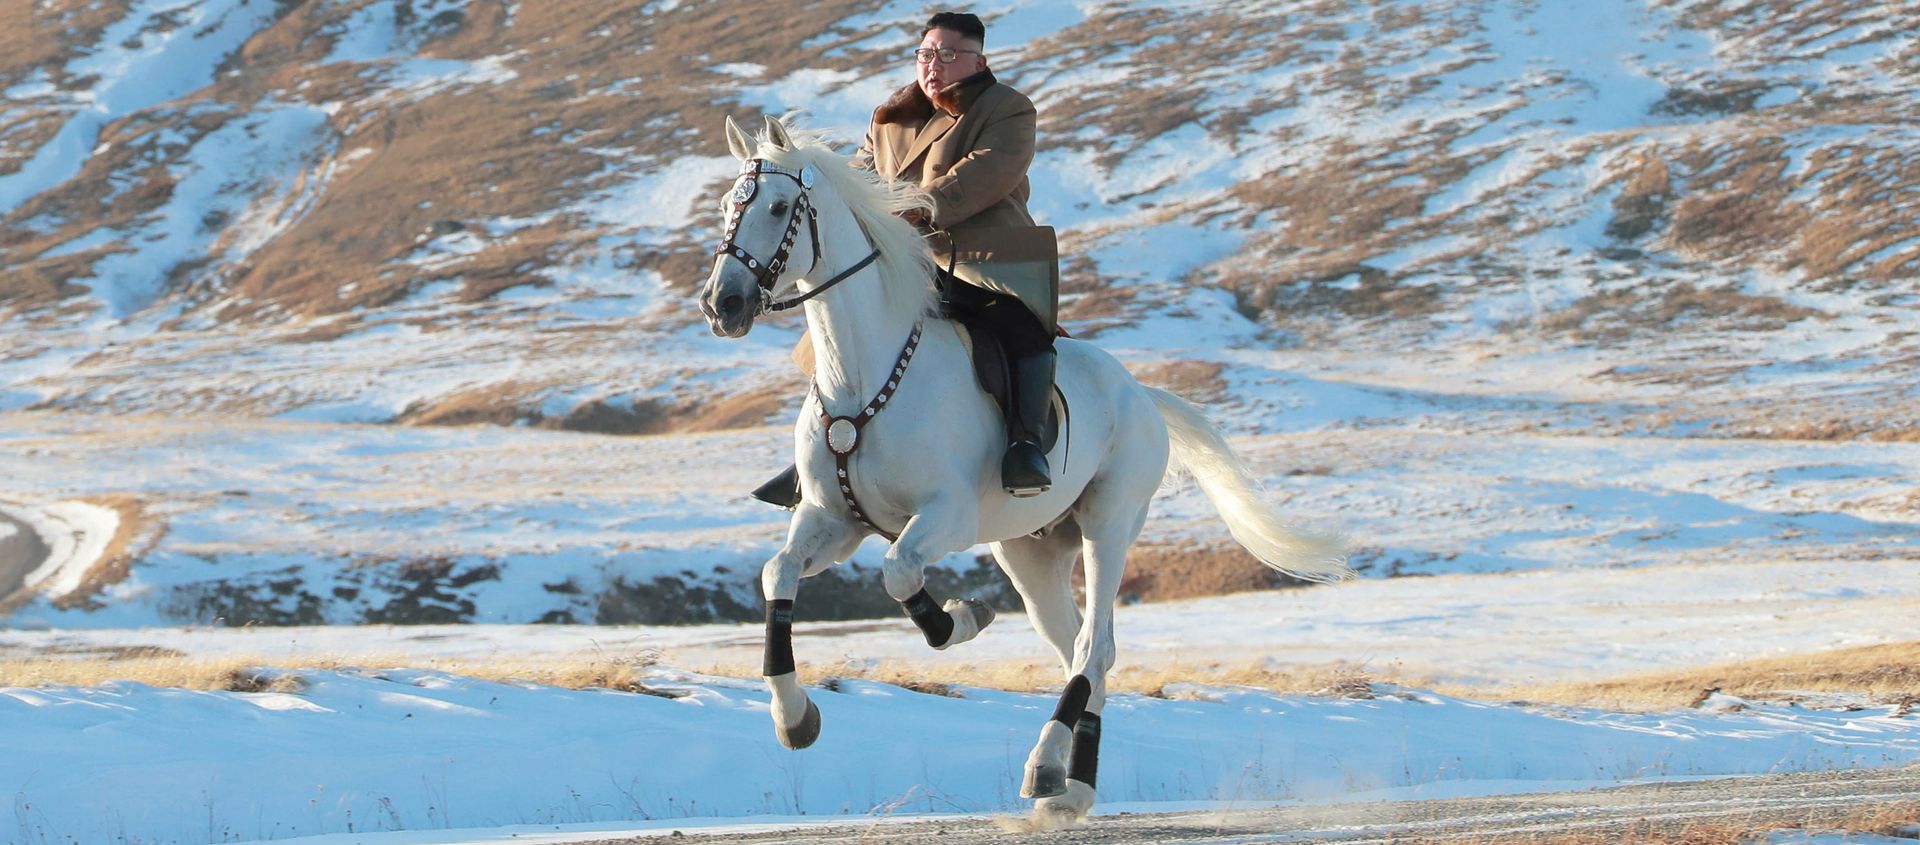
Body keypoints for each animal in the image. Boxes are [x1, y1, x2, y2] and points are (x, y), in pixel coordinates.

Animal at [697, 115, 1349, 823]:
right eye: (728, 206)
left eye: (778, 207)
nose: (723, 304)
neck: (862, 376)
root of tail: (1142, 394)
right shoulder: (833, 520)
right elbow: (777, 573)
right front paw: (794, 718)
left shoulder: (946, 516)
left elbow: (899, 572)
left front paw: (962, 618)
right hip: (1029, 553)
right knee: (1081, 653)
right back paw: (1072, 787)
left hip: (1108, 523)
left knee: (1093, 647)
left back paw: (1044, 768)